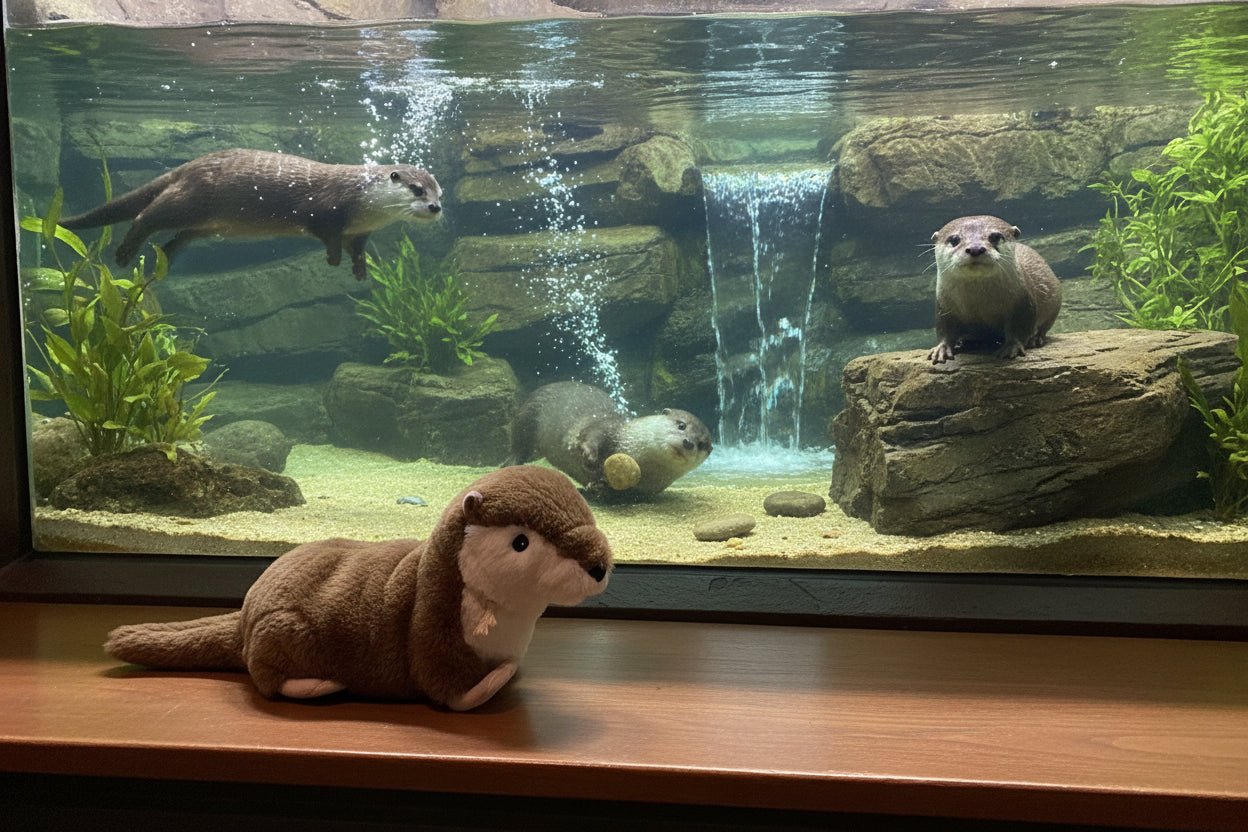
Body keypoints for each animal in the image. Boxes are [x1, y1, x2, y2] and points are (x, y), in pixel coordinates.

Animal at [59, 148, 443, 280]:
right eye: (417, 190)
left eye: (439, 191)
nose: (436, 208)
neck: (362, 201)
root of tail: (188, 166)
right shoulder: (326, 211)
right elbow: (326, 235)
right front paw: (334, 259)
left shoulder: (360, 231)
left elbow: (358, 250)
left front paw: (361, 271)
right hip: (193, 199)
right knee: (147, 217)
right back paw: (125, 254)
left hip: (206, 224)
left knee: (179, 236)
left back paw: (163, 260)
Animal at [507, 381, 713, 496]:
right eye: (681, 425)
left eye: (702, 444)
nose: (688, 442)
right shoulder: (609, 427)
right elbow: (591, 435)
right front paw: (589, 458)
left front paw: (597, 486)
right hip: (528, 415)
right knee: (518, 444)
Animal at [927, 215, 1062, 364]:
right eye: (954, 240)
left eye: (995, 237)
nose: (975, 249)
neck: (979, 303)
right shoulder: (944, 306)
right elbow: (944, 329)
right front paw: (942, 349)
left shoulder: (1023, 302)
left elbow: (1020, 326)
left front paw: (1011, 347)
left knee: (1044, 326)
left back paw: (1035, 339)